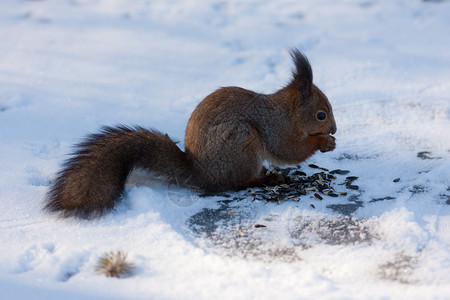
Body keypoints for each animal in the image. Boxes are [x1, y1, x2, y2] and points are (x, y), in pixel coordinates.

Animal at [44, 49, 336, 218]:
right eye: (321, 115)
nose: (334, 129)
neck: (287, 111)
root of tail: (200, 174)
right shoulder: (275, 126)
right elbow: (288, 150)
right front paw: (324, 141)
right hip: (242, 140)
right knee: (240, 182)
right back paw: (267, 178)